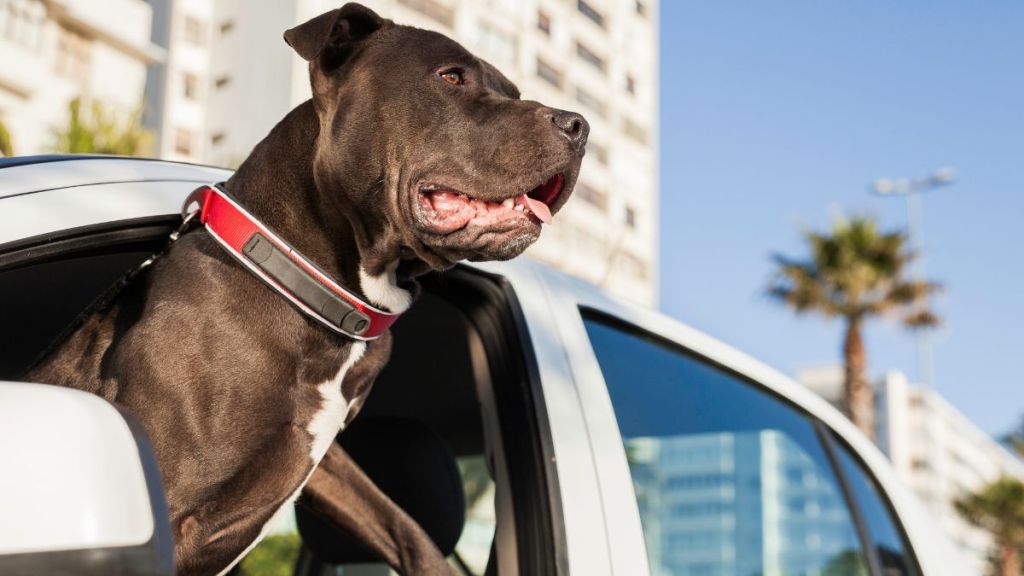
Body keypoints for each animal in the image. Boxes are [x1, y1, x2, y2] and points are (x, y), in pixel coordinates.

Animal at [28, 4, 589, 573]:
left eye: (514, 92)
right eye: (451, 76)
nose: (578, 125)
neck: (304, 283)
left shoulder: (323, 453)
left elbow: (402, 524)